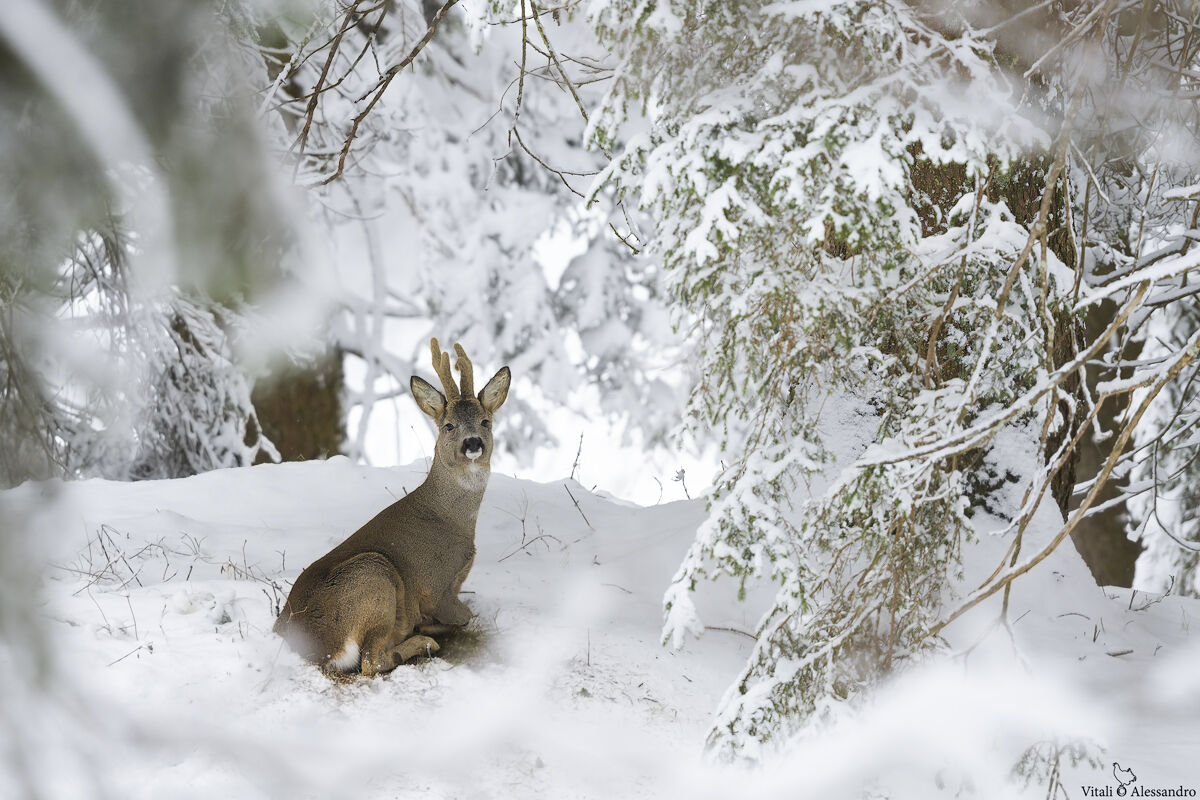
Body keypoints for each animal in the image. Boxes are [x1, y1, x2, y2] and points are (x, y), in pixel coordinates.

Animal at [273, 338, 510, 676]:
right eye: (449, 426)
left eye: (485, 421)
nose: (473, 443)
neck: (451, 519)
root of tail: (314, 647)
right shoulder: (435, 586)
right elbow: (465, 617)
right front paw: (430, 628)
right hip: (374, 574)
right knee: (371, 661)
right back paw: (422, 641)